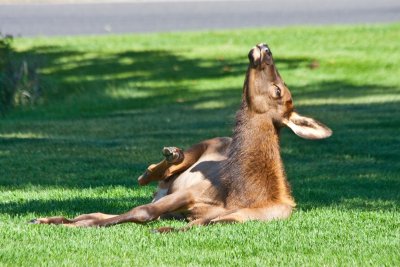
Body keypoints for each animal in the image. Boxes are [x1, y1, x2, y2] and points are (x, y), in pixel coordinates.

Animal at [30, 43, 332, 232]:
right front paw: (70, 224)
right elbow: (138, 211)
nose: (266, 48)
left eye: (278, 90)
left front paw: (72, 223)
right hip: (203, 145)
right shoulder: (189, 192)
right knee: (151, 173)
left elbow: (131, 214)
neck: (243, 193)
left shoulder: (209, 214)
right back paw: (167, 158)